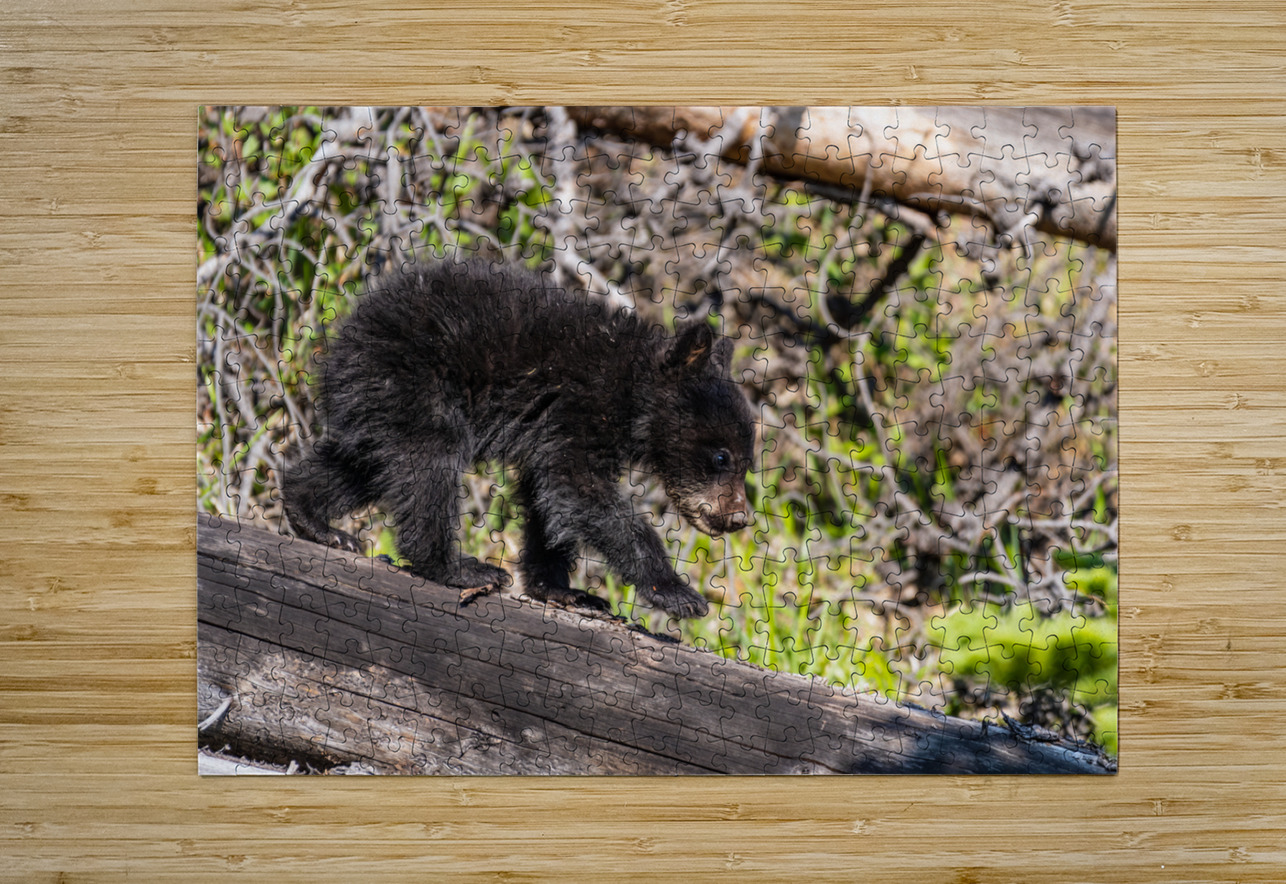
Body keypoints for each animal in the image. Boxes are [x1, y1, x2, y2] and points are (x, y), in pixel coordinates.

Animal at [282, 258, 757, 619]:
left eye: (747, 463)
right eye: (721, 458)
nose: (738, 517)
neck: (630, 393)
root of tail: (344, 335)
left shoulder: (552, 430)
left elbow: (547, 500)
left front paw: (565, 590)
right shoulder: (580, 408)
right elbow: (580, 490)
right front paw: (678, 593)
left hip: (381, 403)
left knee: (365, 464)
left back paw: (315, 520)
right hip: (416, 383)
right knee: (429, 468)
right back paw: (459, 567)